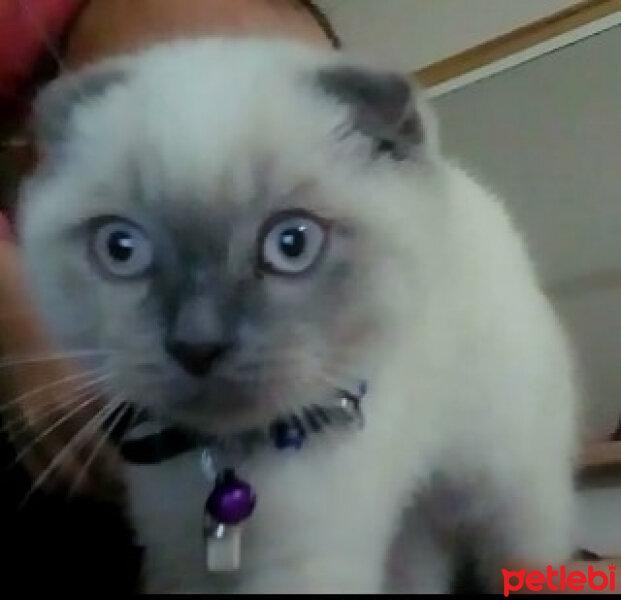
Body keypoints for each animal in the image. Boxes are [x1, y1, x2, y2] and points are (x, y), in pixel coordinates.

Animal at [15, 37, 576, 596]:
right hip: (412, 530)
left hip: (507, 486)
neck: (228, 464)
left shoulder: (307, 559)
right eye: (121, 248)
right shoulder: (177, 560)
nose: (197, 345)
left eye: (291, 244)